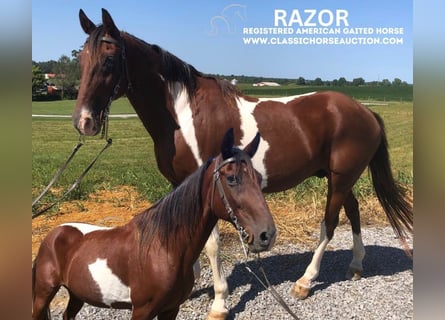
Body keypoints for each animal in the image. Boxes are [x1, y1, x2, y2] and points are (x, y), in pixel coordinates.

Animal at [31, 129, 276, 318]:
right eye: (232, 178)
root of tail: (55, 233)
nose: (267, 235)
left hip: (76, 294)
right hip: (43, 295)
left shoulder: (171, 309)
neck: (164, 248)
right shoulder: (142, 310)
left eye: (257, 177)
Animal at [70, 8, 412, 318]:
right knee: (353, 211)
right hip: (339, 176)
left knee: (329, 223)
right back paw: (356, 265)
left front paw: (219, 304)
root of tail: (365, 111)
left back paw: (305, 281)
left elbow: (211, 245)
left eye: (109, 59)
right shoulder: (182, 186)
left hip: (340, 178)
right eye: (81, 60)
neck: (185, 116)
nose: (84, 122)